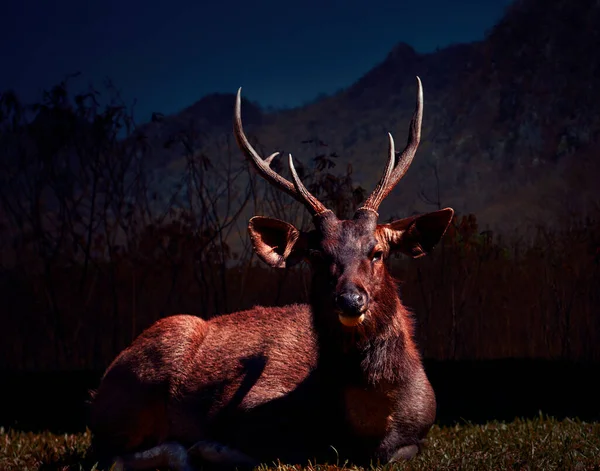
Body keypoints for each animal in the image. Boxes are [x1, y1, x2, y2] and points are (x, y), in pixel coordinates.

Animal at [90, 78, 454, 471]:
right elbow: (283, 450)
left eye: (377, 252)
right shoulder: (252, 405)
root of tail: (98, 390)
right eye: (316, 255)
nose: (350, 299)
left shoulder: (420, 431)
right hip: (140, 382)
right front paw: (211, 448)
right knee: (111, 456)